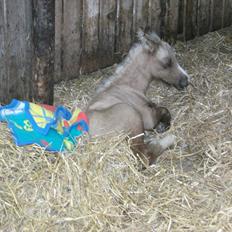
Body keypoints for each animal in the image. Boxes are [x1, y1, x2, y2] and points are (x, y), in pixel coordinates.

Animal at [86, 30, 189, 165]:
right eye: (166, 63)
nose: (185, 81)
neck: (128, 86)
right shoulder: (148, 117)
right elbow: (164, 110)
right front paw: (162, 126)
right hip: (130, 115)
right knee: (144, 156)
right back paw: (168, 140)